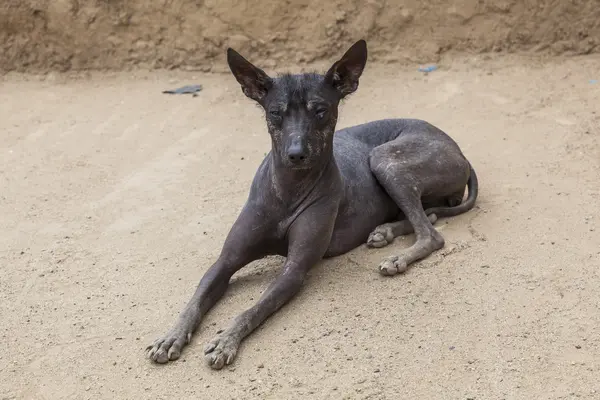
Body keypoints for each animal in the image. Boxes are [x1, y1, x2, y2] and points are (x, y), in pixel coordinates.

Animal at [146, 39, 478, 368]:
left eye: (320, 110)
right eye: (275, 112)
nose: (296, 154)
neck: (289, 191)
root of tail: (461, 153)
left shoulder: (294, 270)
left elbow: (252, 310)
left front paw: (226, 340)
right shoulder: (225, 261)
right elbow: (195, 300)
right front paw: (171, 336)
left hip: (385, 160)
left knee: (431, 233)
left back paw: (399, 257)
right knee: (428, 216)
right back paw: (385, 232)